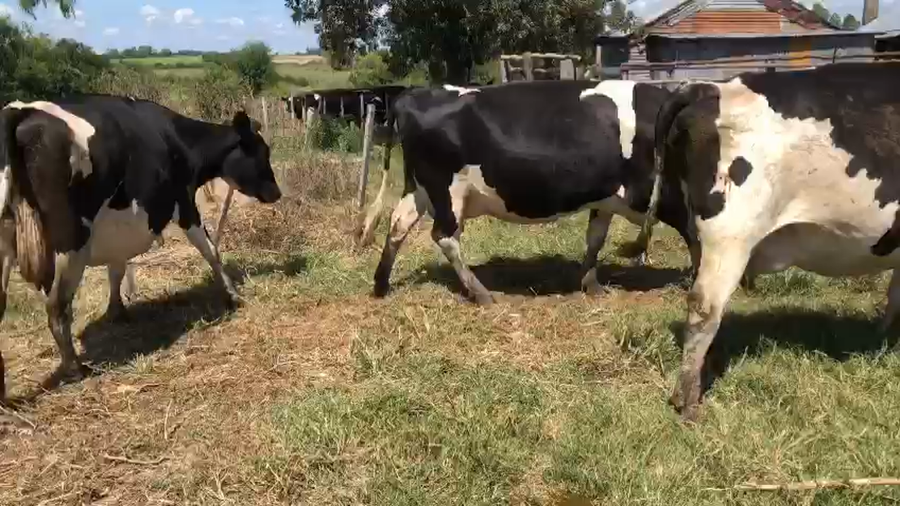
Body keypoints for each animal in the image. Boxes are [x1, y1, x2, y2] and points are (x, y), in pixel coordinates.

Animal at [0, 94, 282, 401]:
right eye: (262, 152)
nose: (277, 193)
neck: (178, 140)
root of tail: (21, 110)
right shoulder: (185, 204)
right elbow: (210, 250)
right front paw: (232, 294)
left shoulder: (119, 230)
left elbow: (117, 270)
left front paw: (117, 311)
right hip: (71, 241)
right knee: (57, 307)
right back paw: (75, 368)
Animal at [356, 79, 700, 305]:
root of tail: (411, 94)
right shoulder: (656, 192)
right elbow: (694, 234)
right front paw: (700, 278)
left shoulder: (605, 196)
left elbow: (595, 238)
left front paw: (591, 284)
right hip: (447, 190)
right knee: (444, 236)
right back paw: (482, 293)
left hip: (421, 187)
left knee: (398, 224)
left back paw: (381, 285)